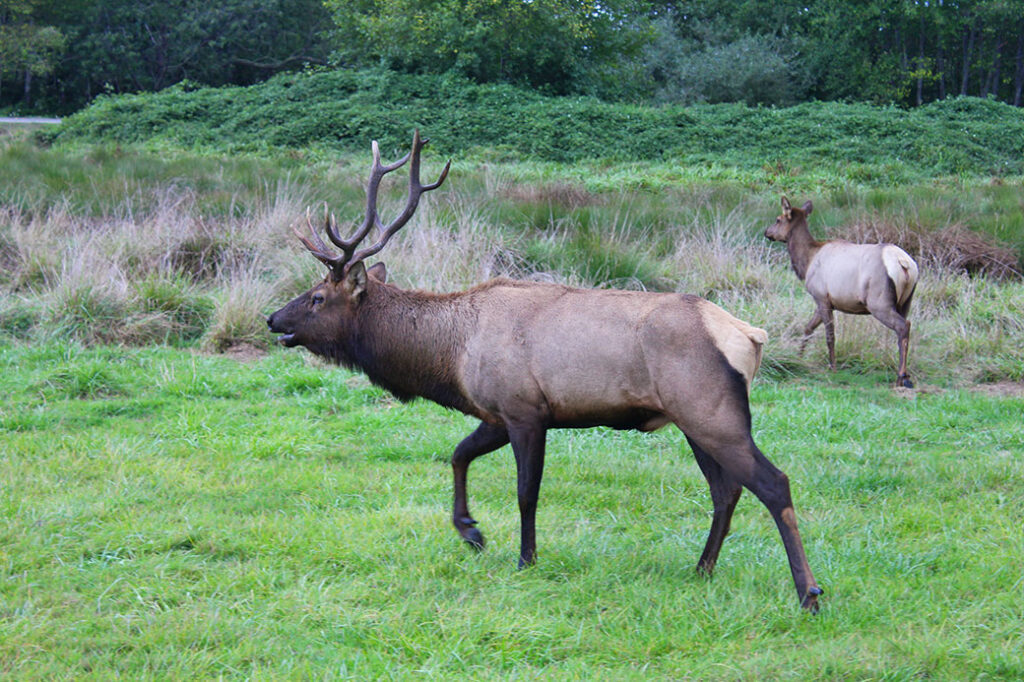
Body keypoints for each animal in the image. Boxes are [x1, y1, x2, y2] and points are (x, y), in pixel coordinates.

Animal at [266, 131, 823, 611]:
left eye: (317, 297)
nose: (274, 320)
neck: (450, 358)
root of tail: (751, 336)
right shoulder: (495, 412)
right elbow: (458, 454)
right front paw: (470, 530)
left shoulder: (525, 410)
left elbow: (525, 492)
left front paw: (524, 558)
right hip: (695, 421)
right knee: (726, 490)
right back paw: (702, 569)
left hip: (711, 411)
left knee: (773, 483)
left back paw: (808, 592)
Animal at [765, 197, 920, 389]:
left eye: (778, 219)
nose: (766, 231)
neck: (807, 262)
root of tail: (904, 264)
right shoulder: (826, 301)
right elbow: (808, 328)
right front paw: (798, 358)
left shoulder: (821, 296)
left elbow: (830, 335)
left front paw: (832, 367)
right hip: (906, 301)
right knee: (904, 328)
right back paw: (904, 374)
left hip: (879, 302)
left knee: (903, 326)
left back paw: (901, 377)